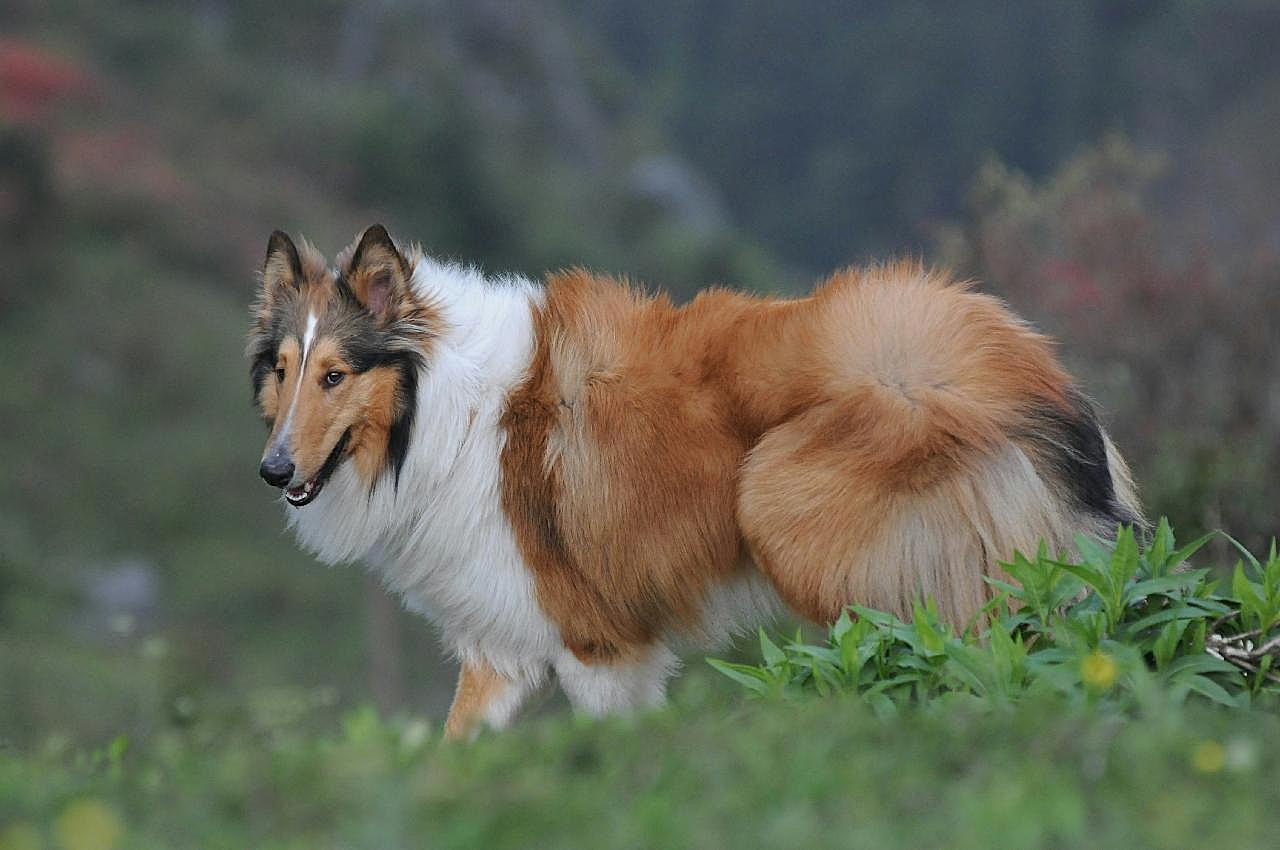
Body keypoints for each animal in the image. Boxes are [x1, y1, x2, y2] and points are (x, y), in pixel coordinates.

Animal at [247, 224, 1141, 737]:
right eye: (283, 370)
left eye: (335, 375)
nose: (273, 469)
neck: (442, 412)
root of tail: (1018, 370)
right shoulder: (505, 650)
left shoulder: (601, 648)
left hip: (792, 512)